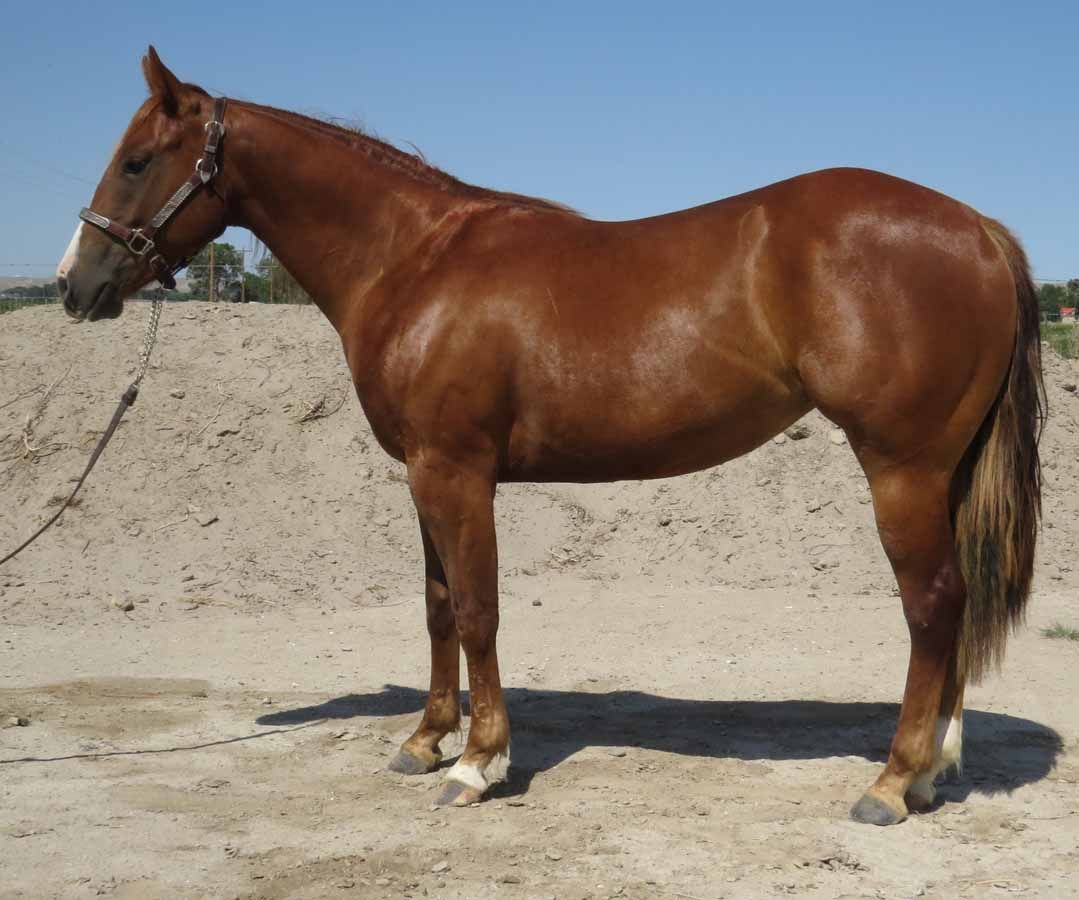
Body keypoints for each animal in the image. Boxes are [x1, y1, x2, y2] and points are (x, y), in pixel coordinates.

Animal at [56, 47, 1044, 826]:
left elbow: (479, 609)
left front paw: (476, 764)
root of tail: (978, 229)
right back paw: (934, 770)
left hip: (901, 470)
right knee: (953, 606)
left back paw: (891, 783)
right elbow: (437, 606)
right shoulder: (421, 476)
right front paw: (424, 740)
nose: (74, 286)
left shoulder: (454, 473)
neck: (414, 260)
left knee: (932, 606)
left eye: (137, 160)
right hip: (943, 473)